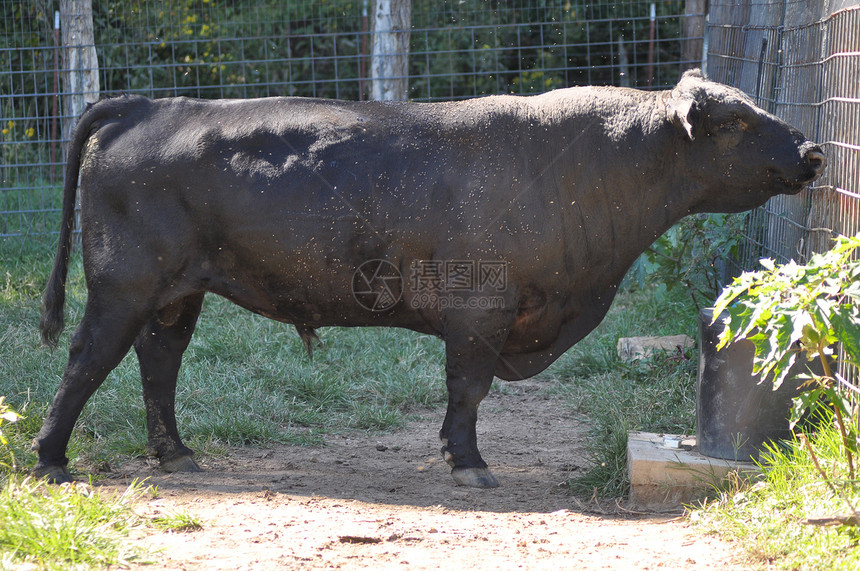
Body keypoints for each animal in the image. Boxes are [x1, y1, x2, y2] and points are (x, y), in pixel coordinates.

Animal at [35, 70, 828, 488]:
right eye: (735, 119)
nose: (814, 150)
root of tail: (152, 104)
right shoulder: (481, 310)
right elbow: (467, 389)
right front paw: (469, 462)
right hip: (123, 287)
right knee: (85, 362)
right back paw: (51, 461)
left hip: (177, 294)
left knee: (158, 361)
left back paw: (174, 452)